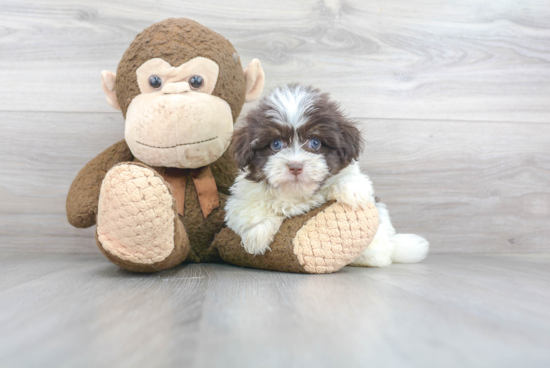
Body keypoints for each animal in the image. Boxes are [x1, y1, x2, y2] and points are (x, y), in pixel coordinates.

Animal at [225, 84, 432, 268]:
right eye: (276, 144)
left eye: (315, 142)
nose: (295, 166)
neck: (297, 194)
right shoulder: (242, 197)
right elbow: (249, 209)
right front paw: (258, 235)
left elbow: (348, 178)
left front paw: (352, 191)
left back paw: (372, 256)